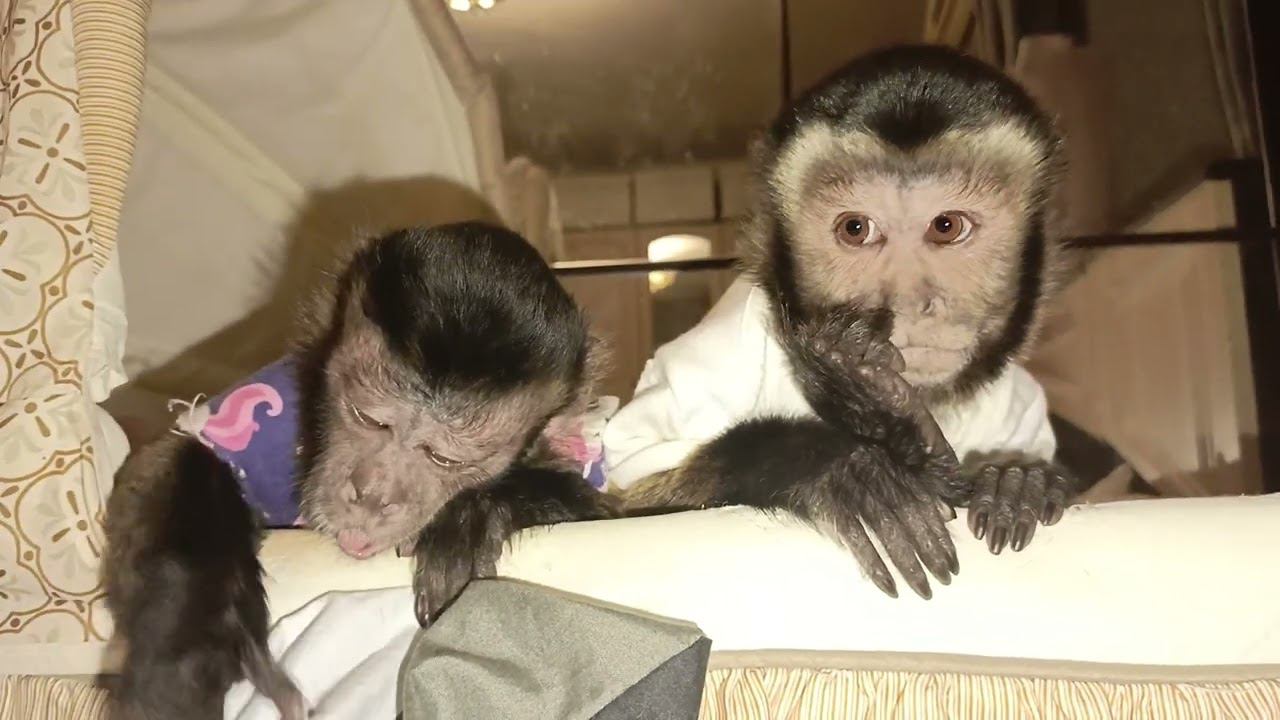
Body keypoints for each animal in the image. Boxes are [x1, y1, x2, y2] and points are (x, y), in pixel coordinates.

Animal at [103, 222, 616, 720]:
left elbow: (606, 511)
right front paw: (190, 623)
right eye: (368, 418)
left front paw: (475, 514)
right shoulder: (273, 397)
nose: (371, 494)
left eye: (445, 459)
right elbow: (166, 454)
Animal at [602, 44, 1079, 601]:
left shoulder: (1020, 402)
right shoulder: (721, 347)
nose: (909, 304)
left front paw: (1017, 479)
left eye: (947, 226)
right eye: (856, 229)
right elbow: (622, 499)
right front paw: (852, 448)